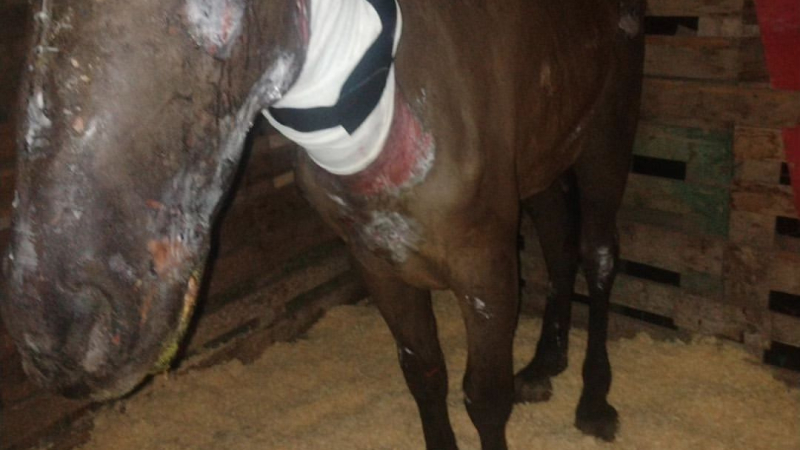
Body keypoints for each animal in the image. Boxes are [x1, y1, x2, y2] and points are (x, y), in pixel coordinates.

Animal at [1, 0, 644, 448]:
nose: (58, 328)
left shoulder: (484, 269)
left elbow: (484, 398)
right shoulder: (377, 262)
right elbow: (425, 375)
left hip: (606, 138)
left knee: (598, 255)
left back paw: (595, 402)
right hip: (545, 160)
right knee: (560, 246)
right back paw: (545, 365)